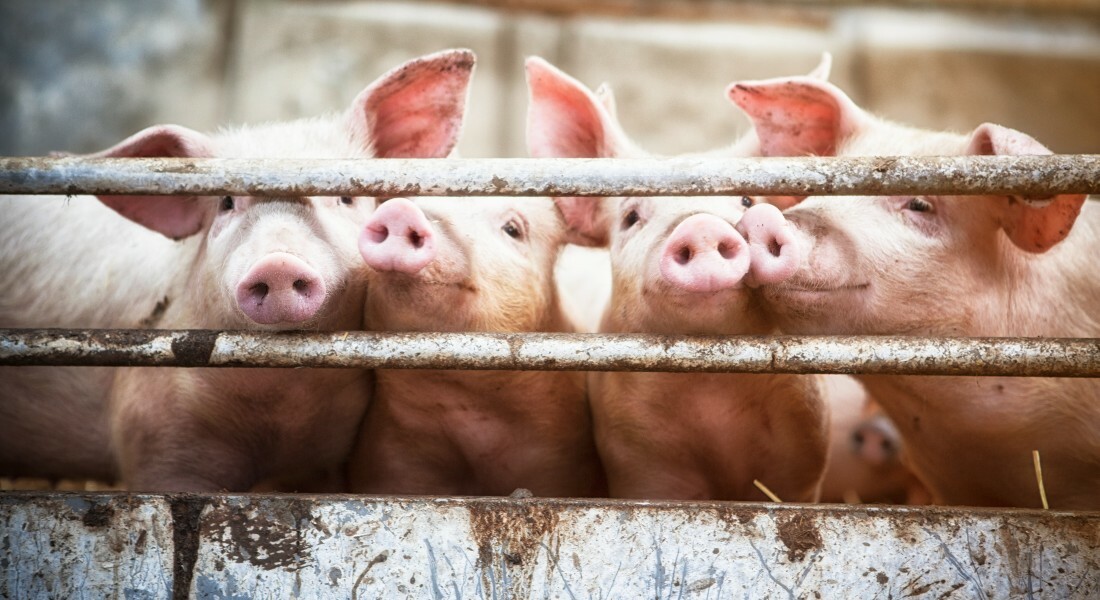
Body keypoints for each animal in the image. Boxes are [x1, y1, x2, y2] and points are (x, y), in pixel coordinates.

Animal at [525, 56, 829, 501]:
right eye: (631, 217)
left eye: (746, 200)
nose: (700, 225)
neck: (711, 391)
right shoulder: (639, 459)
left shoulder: (803, 456)